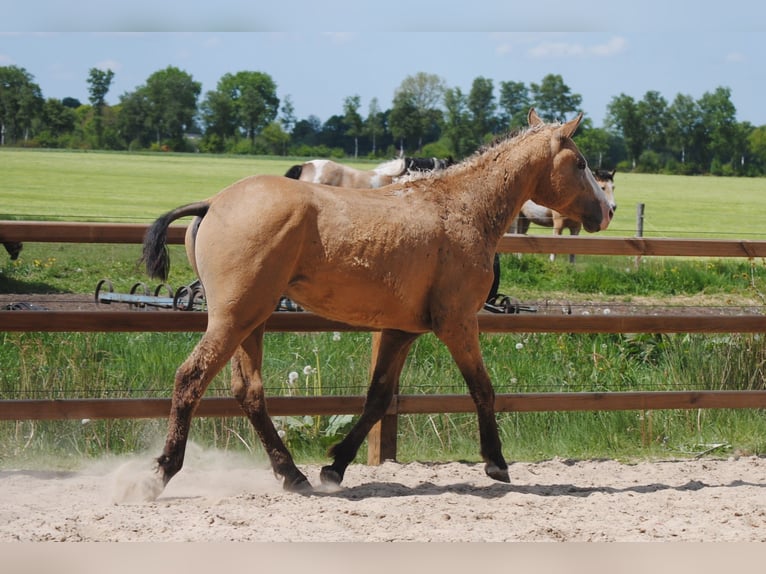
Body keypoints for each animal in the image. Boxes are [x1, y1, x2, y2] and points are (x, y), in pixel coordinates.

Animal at [140, 108, 613, 498]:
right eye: (581, 163)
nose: (607, 212)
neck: (463, 207)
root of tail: (213, 202)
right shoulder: (458, 322)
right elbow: (482, 388)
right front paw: (496, 463)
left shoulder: (401, 330)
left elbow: (378, 399)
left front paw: (335, 467)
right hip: (234, 319)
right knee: (191, 378)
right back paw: (161, 473)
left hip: (250, 321)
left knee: (249, 392)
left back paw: (293, 474)